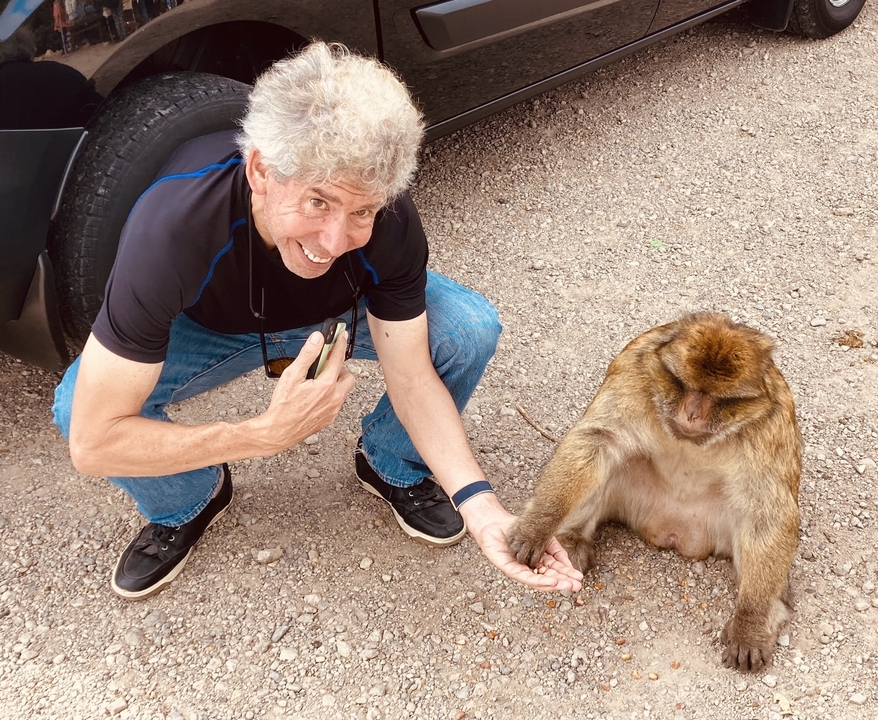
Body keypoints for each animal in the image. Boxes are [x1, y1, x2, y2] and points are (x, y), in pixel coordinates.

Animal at [507, 312, 801, 672]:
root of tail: (673, 532)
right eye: (682, 384)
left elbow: (766, 509)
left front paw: (752, 621)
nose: (692, 413)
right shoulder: (633, 376)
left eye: (722, 399)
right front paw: (537, 527)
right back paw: (571, 539)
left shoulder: (770, 425)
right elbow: (596, 441)